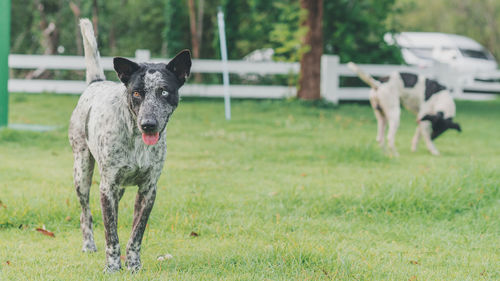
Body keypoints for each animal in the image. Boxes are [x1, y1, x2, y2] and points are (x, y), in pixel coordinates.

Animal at [68, 18, 189, 272]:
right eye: (136, 93)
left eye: (164, 92)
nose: (148, 124)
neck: (136, 140)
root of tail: (96, 82)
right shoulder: (108, 187)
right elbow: (111, 234)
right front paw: (113, 267)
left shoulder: (148, 190)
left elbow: (136, 234)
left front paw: (134, 265)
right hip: (82, 171)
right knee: (86, 212)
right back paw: (88, 244)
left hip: (119, 188)